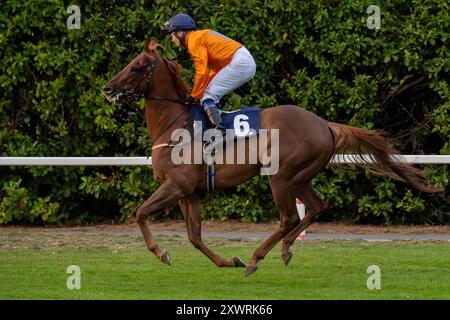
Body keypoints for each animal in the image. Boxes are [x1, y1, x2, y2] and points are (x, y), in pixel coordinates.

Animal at [102, 40, 440, 276]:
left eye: (136, 66)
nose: (108, 88)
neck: (176, 124)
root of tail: (324, 124)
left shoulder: (175, 185)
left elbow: (140, 213)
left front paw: (162, 253)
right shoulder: (189, 192)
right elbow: (195, 236)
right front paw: (230, 261)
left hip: (280, 175)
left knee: (289, 217)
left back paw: (256, 258)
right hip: (300, 176)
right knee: (315, 207)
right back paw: (285, 249)